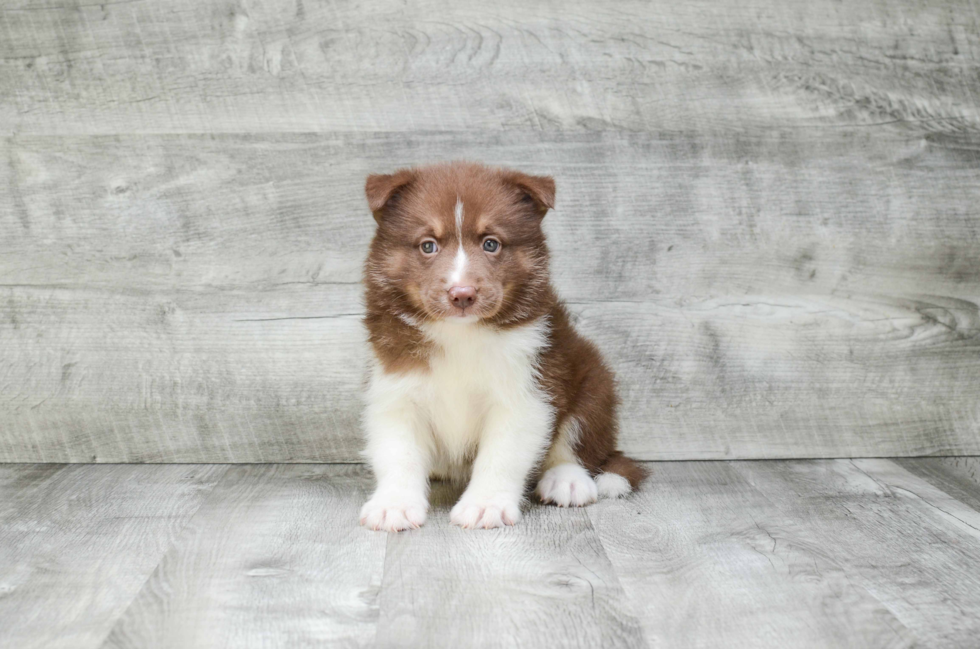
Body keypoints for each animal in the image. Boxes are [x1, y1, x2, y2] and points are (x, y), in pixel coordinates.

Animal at [358, 159, 644, 528]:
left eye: (491, 244)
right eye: (428, 245)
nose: (462, 294)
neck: (460, 333)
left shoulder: (526, 390)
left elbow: (501, 455)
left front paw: (485, 505)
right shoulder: (396, 387)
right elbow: (398, 452)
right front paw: (393, 504)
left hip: (594, 382)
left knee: (578, 446)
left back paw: (566, 480)